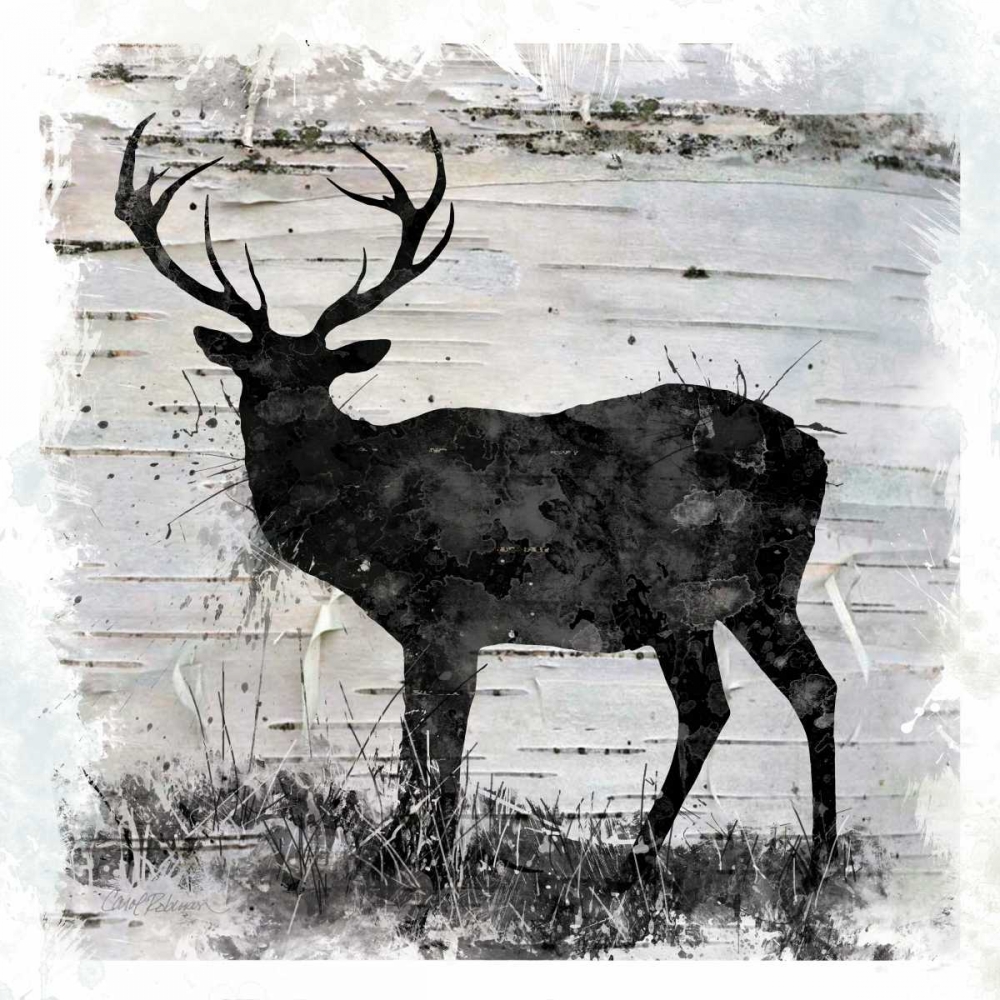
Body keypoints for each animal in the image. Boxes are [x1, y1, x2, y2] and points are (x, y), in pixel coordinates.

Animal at [115, 114, 838, 885]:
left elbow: (439, 756)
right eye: (251, 372)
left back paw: (667, 859)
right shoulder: (422, 632)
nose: (283, 421)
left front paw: (427, 863)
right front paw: (403, 854)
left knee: (729, 703)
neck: (369, 512)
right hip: (746, 597)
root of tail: (814, 453)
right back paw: (792, 859)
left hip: (693, 594)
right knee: (781, 695)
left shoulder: (451, 619)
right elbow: (417, 746)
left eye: (320, 374)